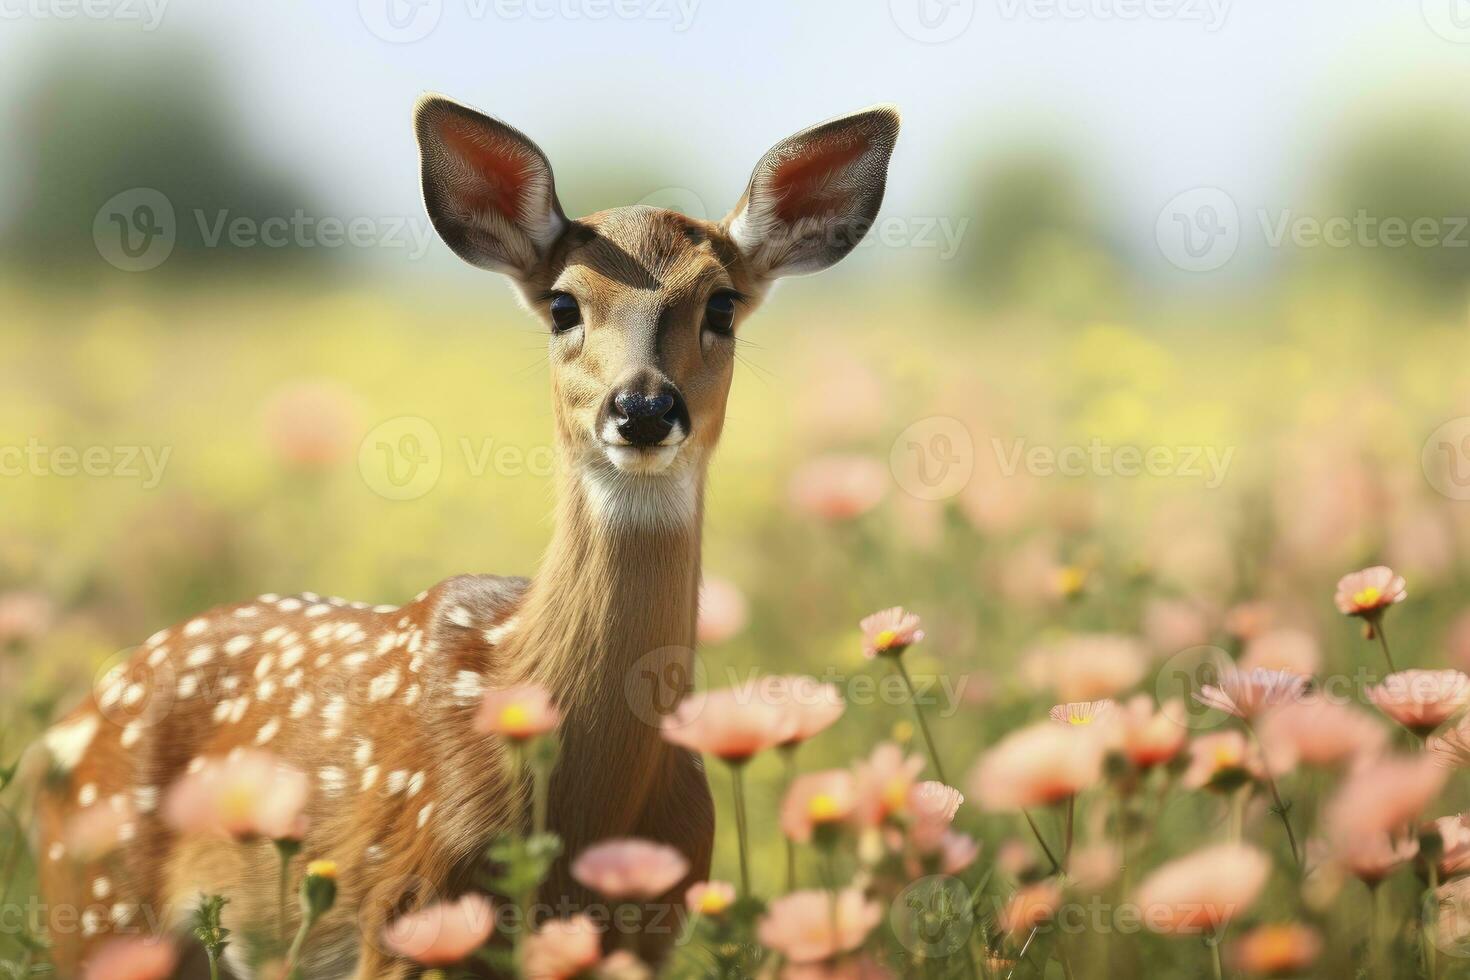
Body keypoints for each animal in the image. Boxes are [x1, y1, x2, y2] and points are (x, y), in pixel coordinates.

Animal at [34, 94, 899, 980]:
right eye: (562, 305)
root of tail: (62, 734)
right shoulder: (404, 911)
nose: (643, 408)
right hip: (98, 905)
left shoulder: (652, 927)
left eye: (722, 304)